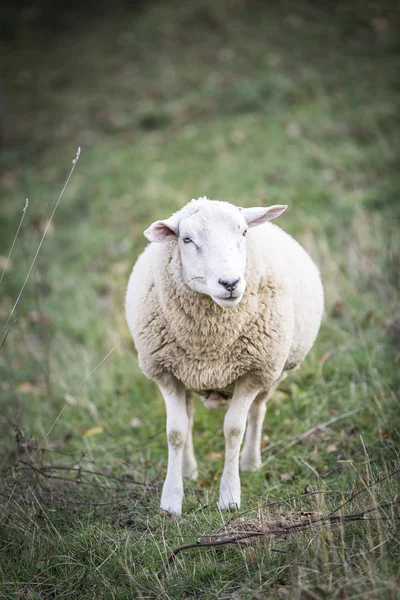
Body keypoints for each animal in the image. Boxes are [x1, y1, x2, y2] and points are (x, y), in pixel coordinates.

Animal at [126, 197, 324, 516]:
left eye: (243, 232)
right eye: (186, 239)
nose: (229, 283)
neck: (211, 343)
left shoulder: (253, 373)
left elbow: (234, 430)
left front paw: (230, 497)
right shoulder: (166, 373)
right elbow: (176, 432)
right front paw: (171, 501)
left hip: (272, 372)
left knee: (258, 411)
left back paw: (251, 462)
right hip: (187, 375)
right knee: (189, 417)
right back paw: (188, 470)